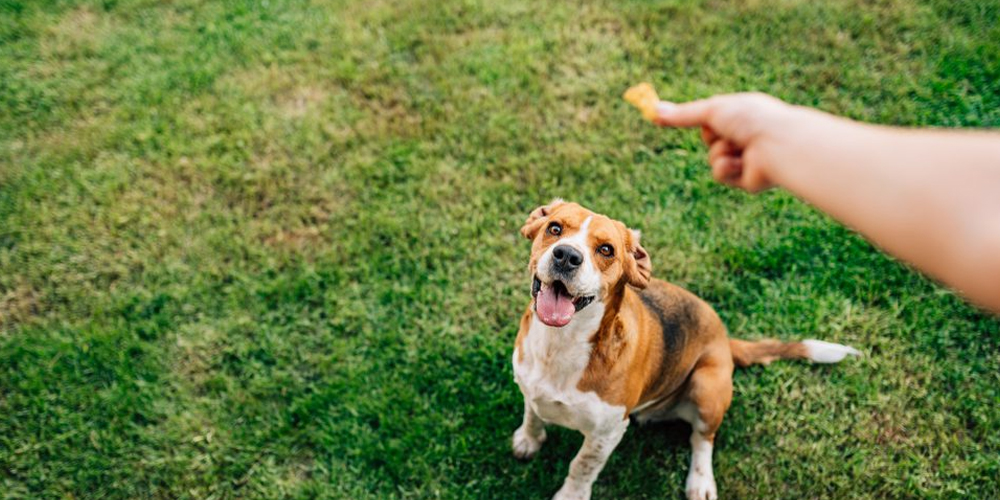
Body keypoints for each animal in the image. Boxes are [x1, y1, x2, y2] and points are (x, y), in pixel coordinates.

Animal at [512, 200, 856, 500]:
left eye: (606, 250)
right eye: (555, 228)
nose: (566, 256)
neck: (561, 343)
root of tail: (725, 340)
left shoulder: (606, 434)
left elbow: (581, 467)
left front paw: (570, 495)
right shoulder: (530, 387)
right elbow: (532, 414)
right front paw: (528, 440)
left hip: (707, 387)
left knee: (702, 439)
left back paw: (700, 482)